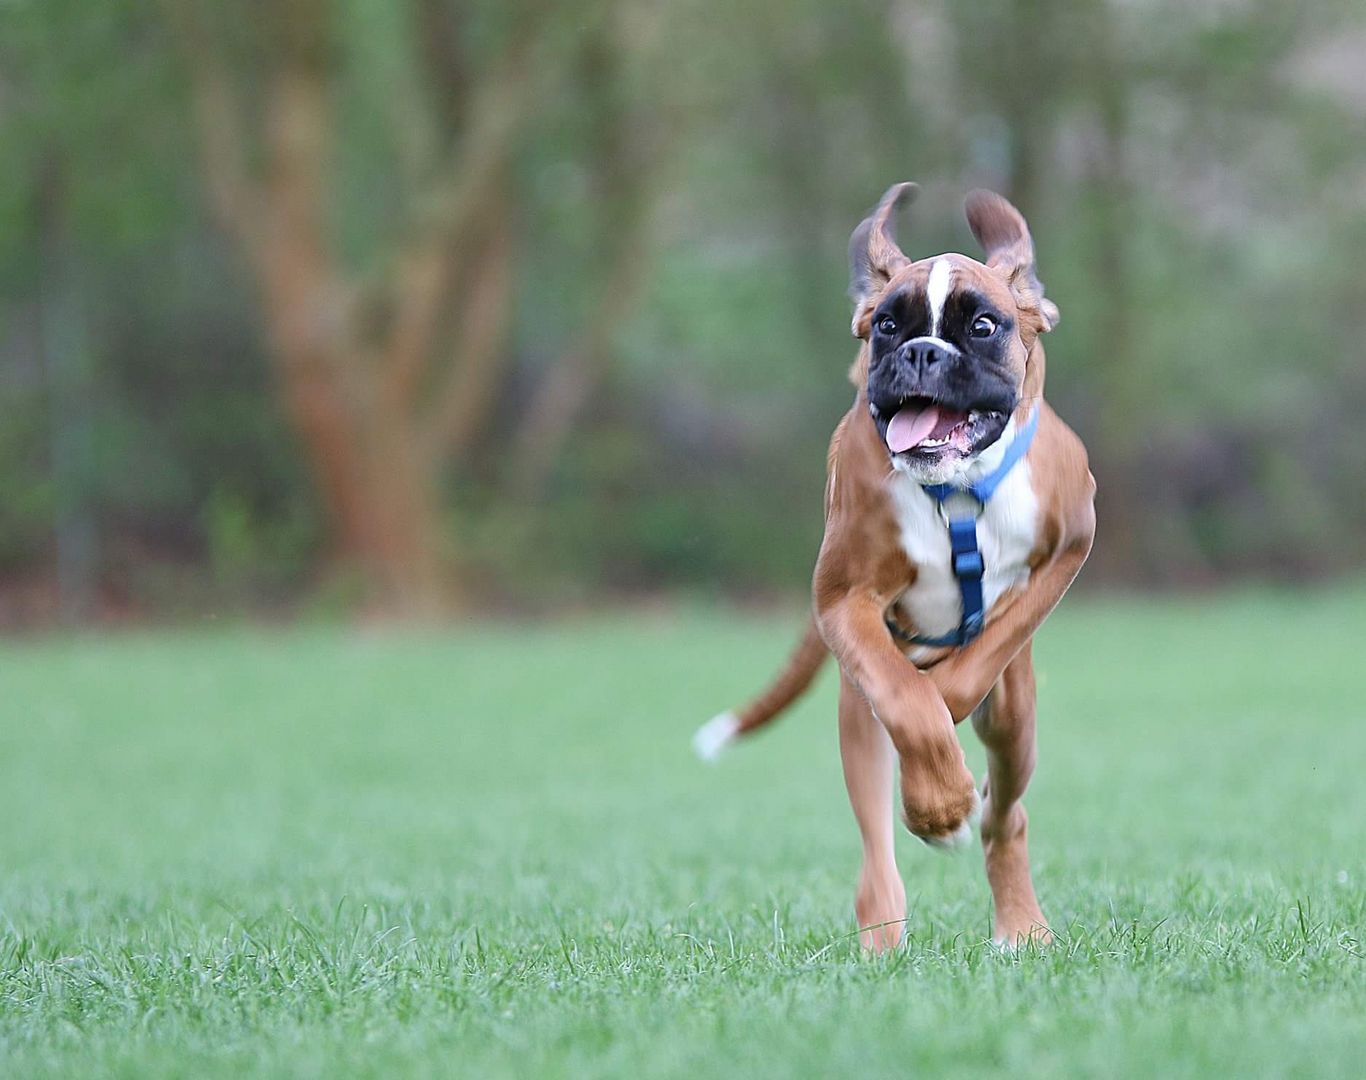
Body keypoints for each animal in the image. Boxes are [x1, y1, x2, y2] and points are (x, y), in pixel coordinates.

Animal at [699, 185, 1092, 955]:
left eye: (982, 324)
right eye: (885, 324)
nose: (920, 351)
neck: (957, 490)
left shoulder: (1071, 544)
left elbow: (979, 658)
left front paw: (949, 715)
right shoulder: (843, 602)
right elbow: (910, 705)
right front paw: (938, 801)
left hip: (1017, 721)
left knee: (1008, 814)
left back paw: (1020, 926)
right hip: (858, 720)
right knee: (878, 840)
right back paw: (886, 931)